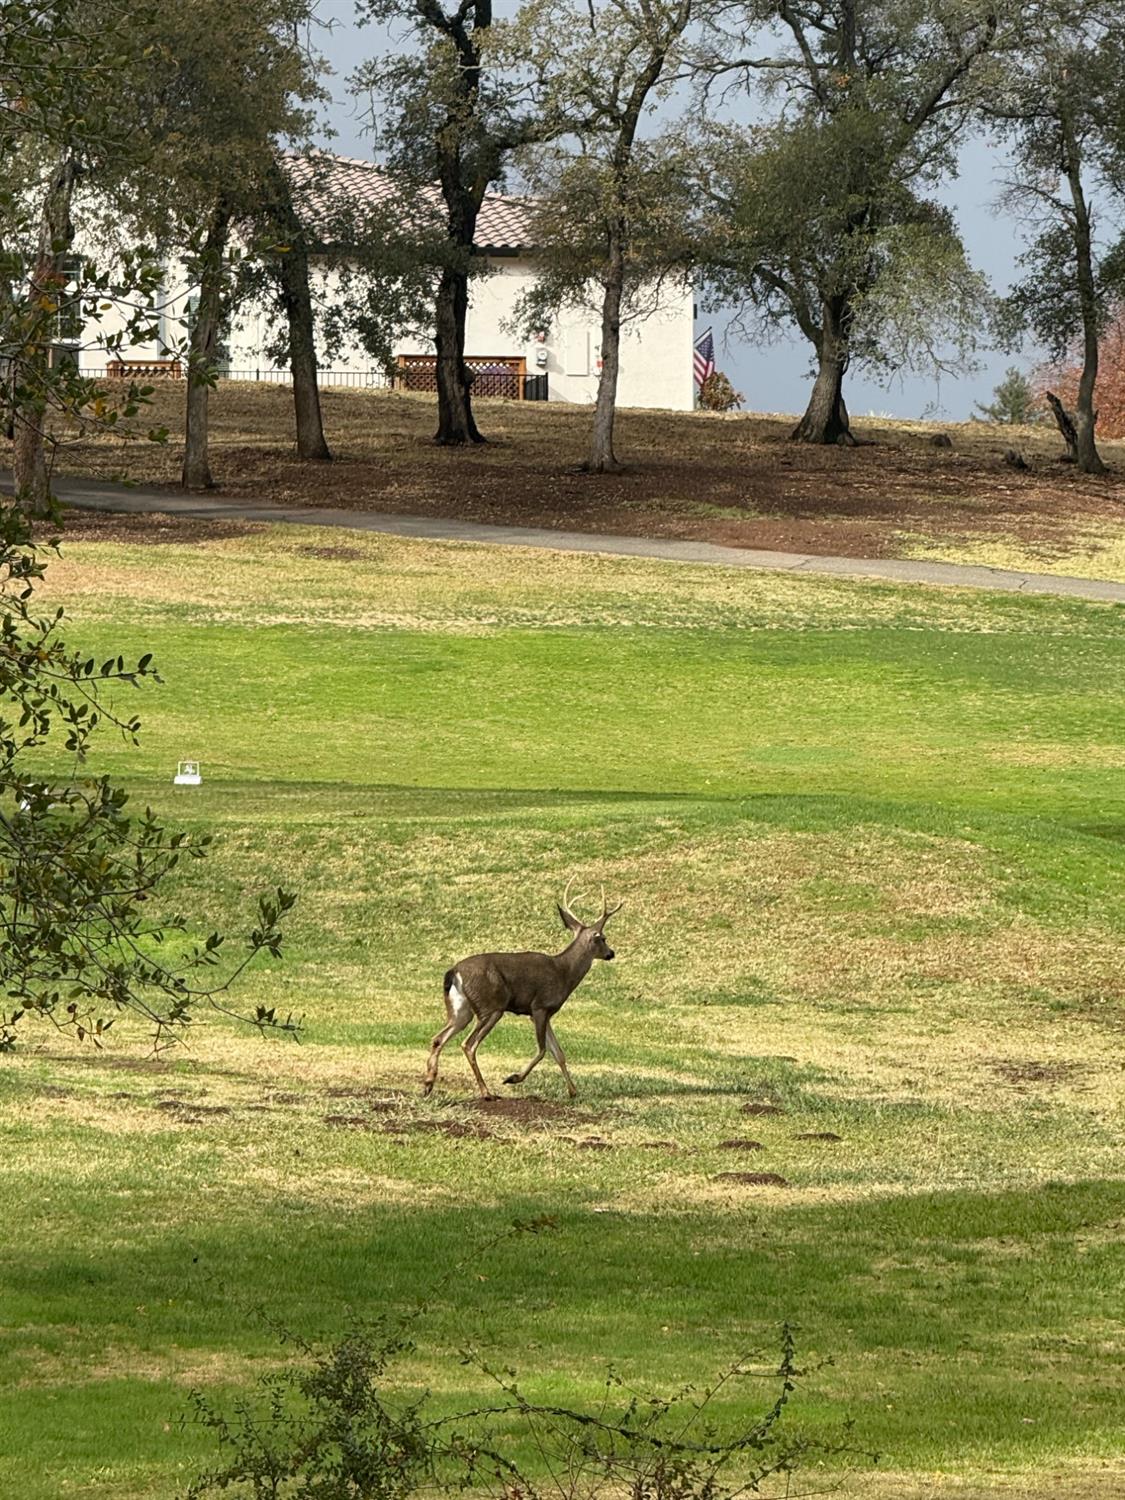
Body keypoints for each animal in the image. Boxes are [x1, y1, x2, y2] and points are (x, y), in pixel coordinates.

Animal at [420, 876, 621, 1104]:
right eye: (603, 938)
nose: (611, 953)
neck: (564, 972)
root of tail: (454, 972)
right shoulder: (540, 1006)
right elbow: (543, 1050)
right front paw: (513, 1078)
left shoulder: (543, 1013)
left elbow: (559, 1053)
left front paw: (573, 1091)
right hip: (491, 1007)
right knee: (468, 1044)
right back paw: (486, 1092)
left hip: (461, 1010)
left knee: (438, 1038)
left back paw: (428, 1085)